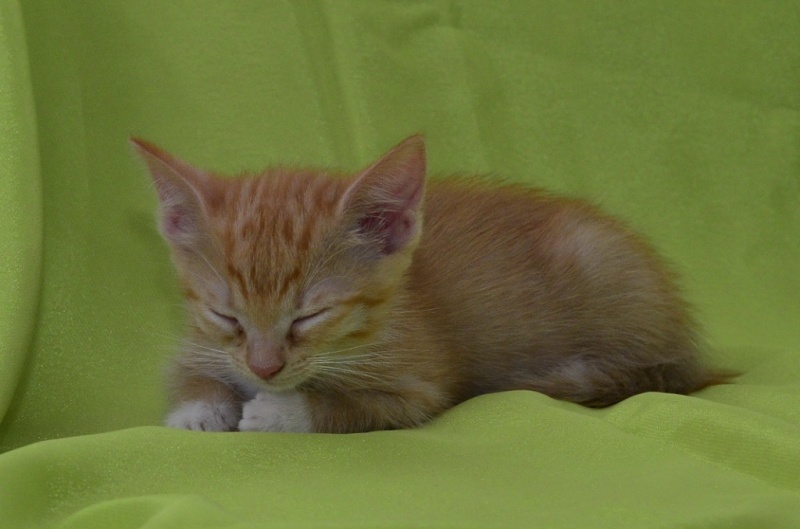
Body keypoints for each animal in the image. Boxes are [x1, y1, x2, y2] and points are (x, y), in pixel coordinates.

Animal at [133, 135, 730, 434]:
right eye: (226, 316)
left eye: (310, 316)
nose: (263, 369)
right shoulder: (199, 339)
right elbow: (188, 371)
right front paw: (197, 409)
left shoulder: (421, 386)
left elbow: (351, 407)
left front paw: (281, 411)